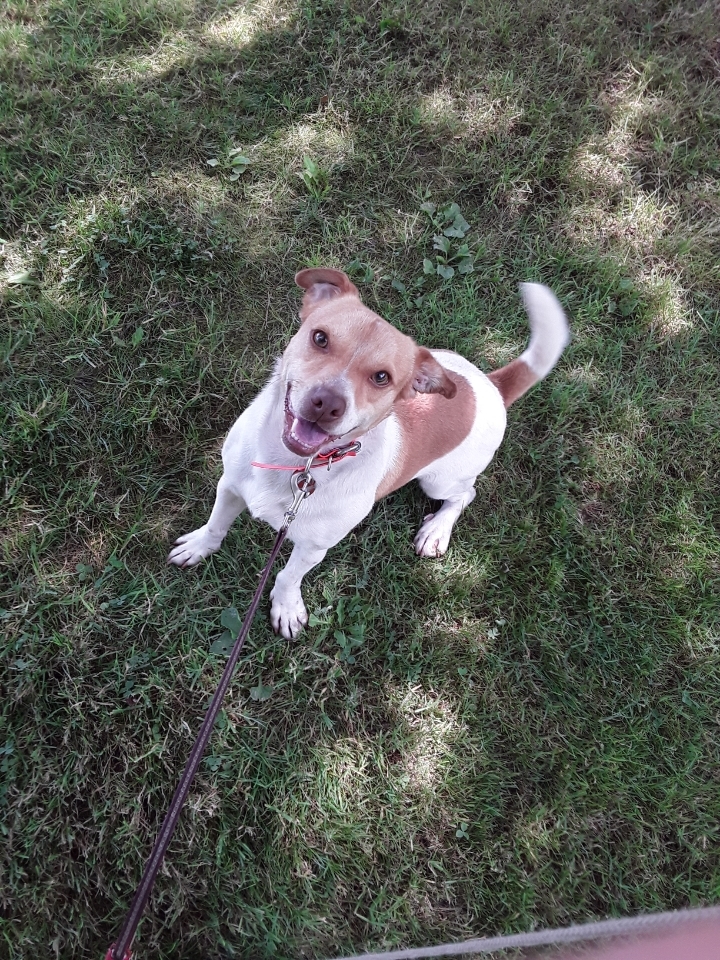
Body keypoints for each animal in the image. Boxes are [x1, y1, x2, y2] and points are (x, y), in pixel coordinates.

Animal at [167, 268, 568, 636]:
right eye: (320, 338)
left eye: (381, 377)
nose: (327, 404)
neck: (296, 466)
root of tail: (491, 386)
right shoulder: (230, 486)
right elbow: (216, 526)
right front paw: (199, 547)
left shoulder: (314, 546)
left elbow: (287, 576)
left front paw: (285, 606)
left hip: (439, 481)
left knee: (465, 494)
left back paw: (436, 530)